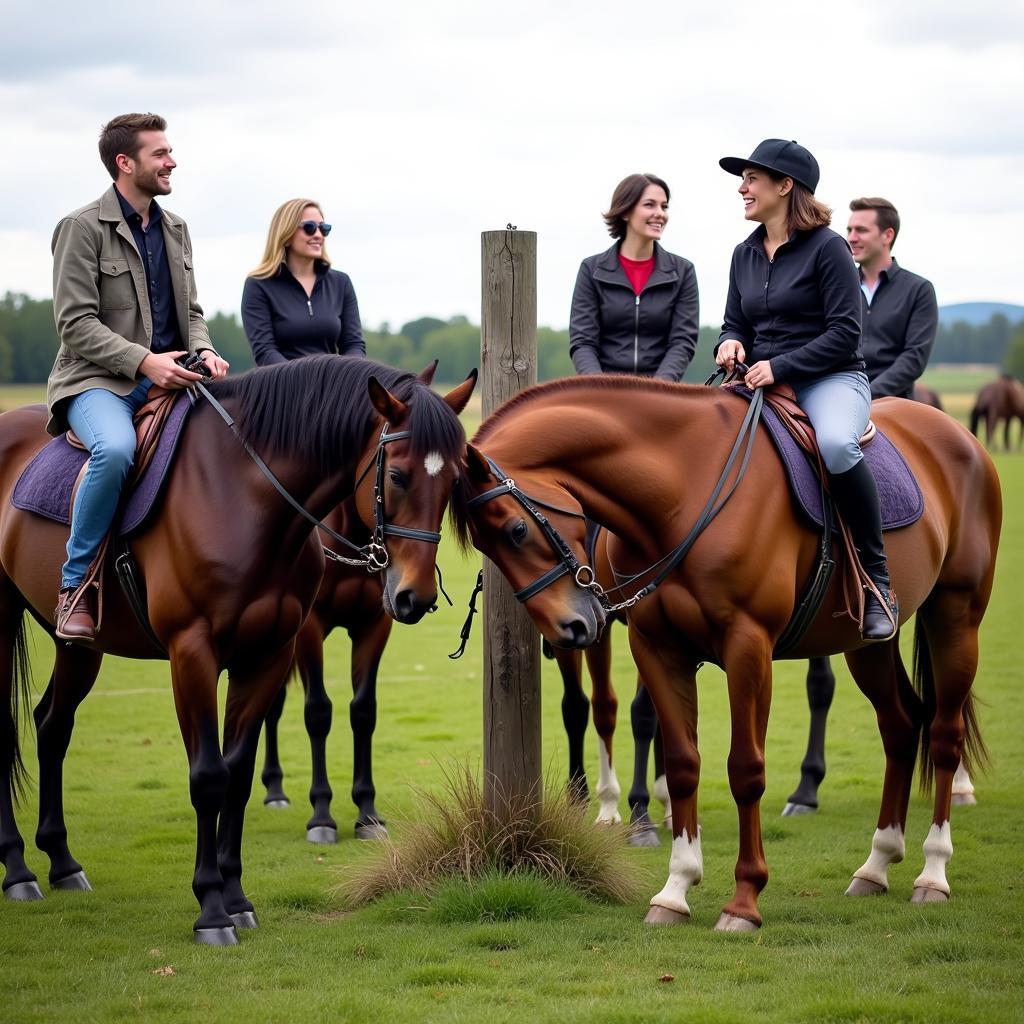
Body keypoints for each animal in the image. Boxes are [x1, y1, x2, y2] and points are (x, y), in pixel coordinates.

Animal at [0, 354, 475, 942]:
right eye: (397, 475)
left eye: (454, 479)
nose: (416, 596)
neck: (243, 497)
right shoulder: (195, 654)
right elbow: (211, 774)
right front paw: (210, 909)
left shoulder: (271, 653)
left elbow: (240, 774)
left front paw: (237, 897)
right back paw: (18, 870)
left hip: (78, 646)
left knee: (52, 725)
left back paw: (63, 863)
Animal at [450, 374, 999, 929]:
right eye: (485, 547)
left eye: (517, 529)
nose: (572, 627)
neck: (684, 489)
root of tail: (959, 436)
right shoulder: (658, 649)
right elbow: (683, 762)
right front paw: (675, 888)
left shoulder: (747, 647)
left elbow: (746, 768)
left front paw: (744, 900)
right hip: (866, 646)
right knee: (901, 726)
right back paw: (877, 863)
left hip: (956, 618)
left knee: (945, 734)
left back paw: (933, 872)